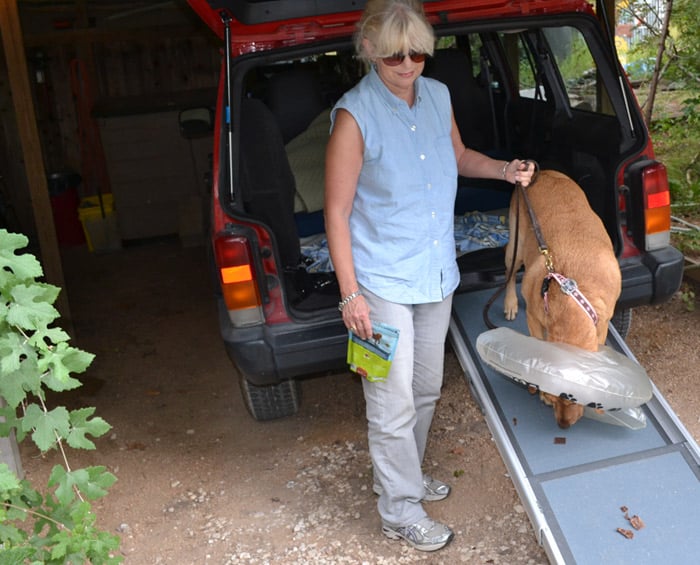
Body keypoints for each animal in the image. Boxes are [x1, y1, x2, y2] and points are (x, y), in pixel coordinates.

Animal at [504, 169, 624, 428]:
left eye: (577, 400)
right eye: (552, 400)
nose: (563, 426)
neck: (571, 300)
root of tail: (541, 171)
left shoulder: (603, 322)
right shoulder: (533, 317)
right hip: (515, 247)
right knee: (509, 273)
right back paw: (509, 303)